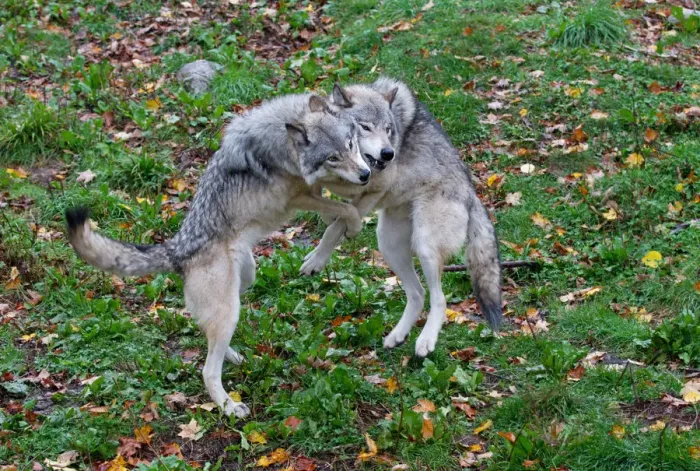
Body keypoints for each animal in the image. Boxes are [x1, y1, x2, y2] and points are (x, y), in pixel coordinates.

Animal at [65, 93, 371, 417]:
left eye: (350, 144)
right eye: (332, 157)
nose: (365, 174)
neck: (283, 139)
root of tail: (177, 249)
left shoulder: (315, 188)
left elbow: (335, 204)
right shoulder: (300, 196)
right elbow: (346, 208)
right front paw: (352, 226)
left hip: (243, 284)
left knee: (207, 335)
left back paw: (234, 357)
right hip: (229, 308)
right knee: (208, 370)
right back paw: (229, 407)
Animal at [300, 77, 503, 357]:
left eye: (388, 129)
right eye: (364, 127)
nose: (388, 153)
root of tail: (472, 195)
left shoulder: (375, 190)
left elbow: (336, 226)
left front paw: (317, 260)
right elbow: (323, 198)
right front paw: (328, 217)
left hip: (424, 246)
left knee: (439, 298)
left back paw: (425, 341)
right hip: (389, 246)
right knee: (417, 294)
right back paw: (397, 336)